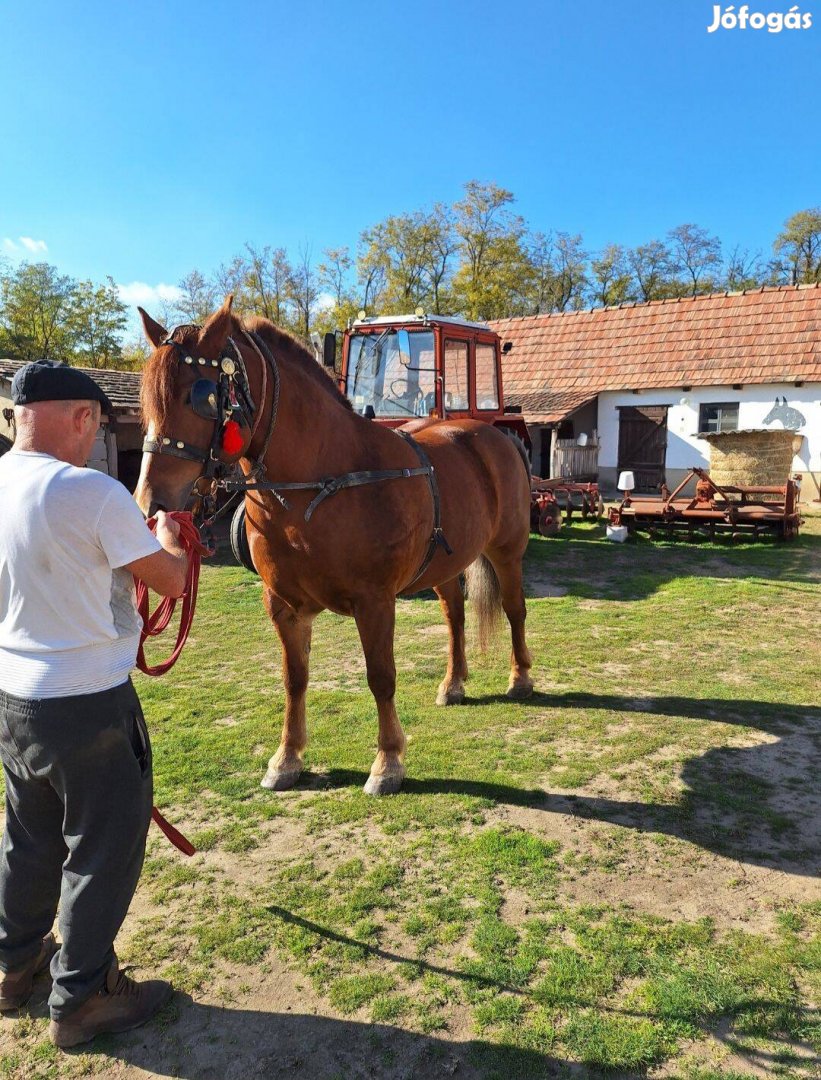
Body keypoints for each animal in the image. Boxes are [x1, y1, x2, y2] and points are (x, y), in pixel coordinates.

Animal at [134, 300, 531, 799]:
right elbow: (294, 679)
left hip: (507, 550)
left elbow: (381, 678)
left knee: (515, 610)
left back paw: (520, 678)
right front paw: (286, 759)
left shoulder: (375, 602)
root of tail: (493, 435)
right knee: (454, 616)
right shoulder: (283, 605)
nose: (151, 504)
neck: (323, 482)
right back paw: (453, 683)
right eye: (147, 399)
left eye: (201, 395)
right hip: (444, 563)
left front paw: (388, 763)